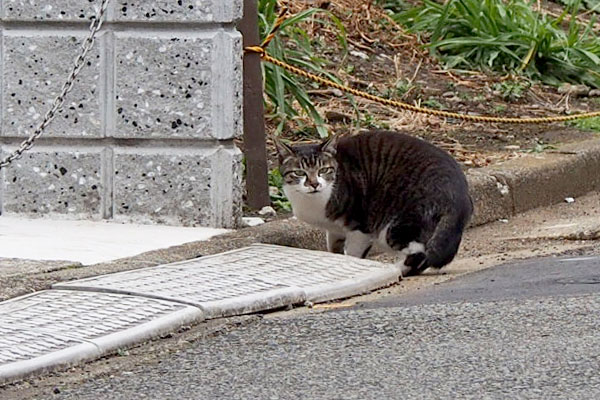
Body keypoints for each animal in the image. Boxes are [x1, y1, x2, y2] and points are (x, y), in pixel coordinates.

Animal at [274, 130, 472, 276]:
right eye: (299, 173)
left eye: (323, 170)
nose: (314, 184)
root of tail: (460, 196)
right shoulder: (334, 229)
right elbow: (334, 247)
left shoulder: (360, 227)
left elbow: (353, 255)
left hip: (396, 224)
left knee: (419, 252)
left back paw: (396, 269)